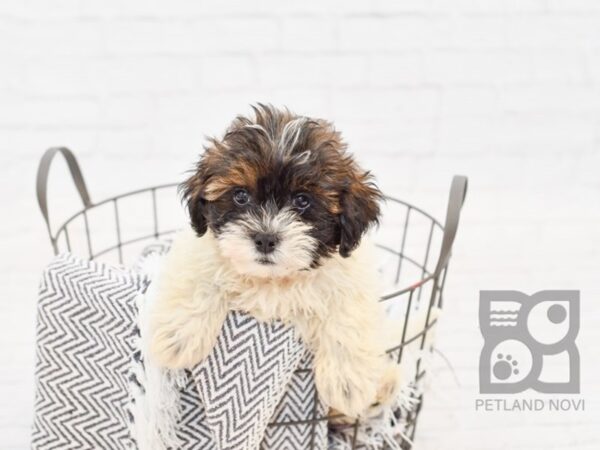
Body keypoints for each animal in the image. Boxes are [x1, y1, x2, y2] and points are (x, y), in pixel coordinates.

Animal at [149, 105, 400, 418]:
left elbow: (348, 313)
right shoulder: (200, 249)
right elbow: (201, 277)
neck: (274, 280)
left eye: (302, 200)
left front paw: (347, 384)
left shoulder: (351, 276)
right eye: (240, 195)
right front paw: (178, 338)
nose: (265, 239)